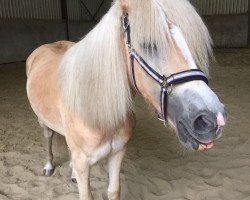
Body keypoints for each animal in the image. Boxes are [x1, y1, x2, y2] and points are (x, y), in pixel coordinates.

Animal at [25, 0, 227, 200]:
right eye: (148, 44)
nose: (212, 119)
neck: (97, 110)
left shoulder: (117, 153)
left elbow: (113, 190)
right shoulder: (83, 163)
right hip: (43, 123)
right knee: (48, 140)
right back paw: (49, 166)